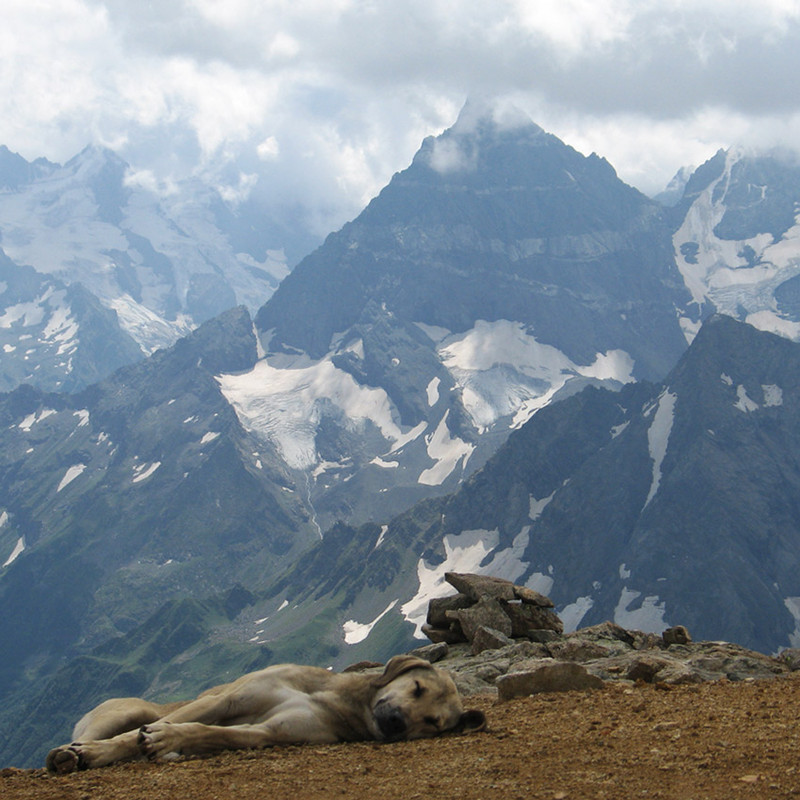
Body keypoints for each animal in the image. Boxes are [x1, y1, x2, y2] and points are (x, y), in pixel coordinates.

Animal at [45, 656, 488, 776]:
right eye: (417, 689)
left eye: (433, 723)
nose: (396, 722)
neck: (333, 700)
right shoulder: (230, 700)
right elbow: (164, 725)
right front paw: (95, 753)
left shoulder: (272, 732)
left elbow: (209, 732)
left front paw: (171, 740)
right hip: (127, 708)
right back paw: (73, 751)